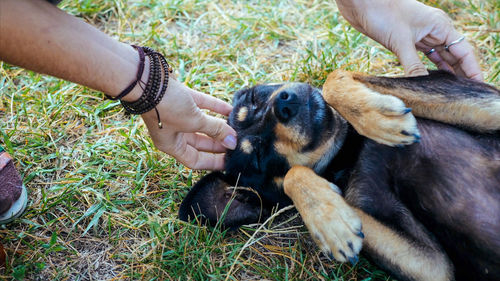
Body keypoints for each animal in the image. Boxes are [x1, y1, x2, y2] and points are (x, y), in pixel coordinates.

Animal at [178, 70, 498, 280]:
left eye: (255, 97)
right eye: (257, 155)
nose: (284, 103)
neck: (349, 149)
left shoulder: (489, 100)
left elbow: (334, 77)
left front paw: (376, 117)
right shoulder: (434, 267)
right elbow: (295, 174)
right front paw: (330, 221)